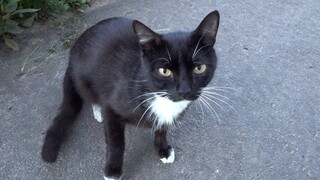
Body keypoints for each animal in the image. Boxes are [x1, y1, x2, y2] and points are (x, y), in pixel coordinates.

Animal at [40, 10, 220, 180]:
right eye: (164, 71)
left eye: (199, 68)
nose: (184, 90)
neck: (159, 97)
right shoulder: (112, 107)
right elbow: (116, 143)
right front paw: (112, 172)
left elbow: (161, 129)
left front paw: (163, 150)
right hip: (83, 78)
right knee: (89, 95)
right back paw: (98, 110)